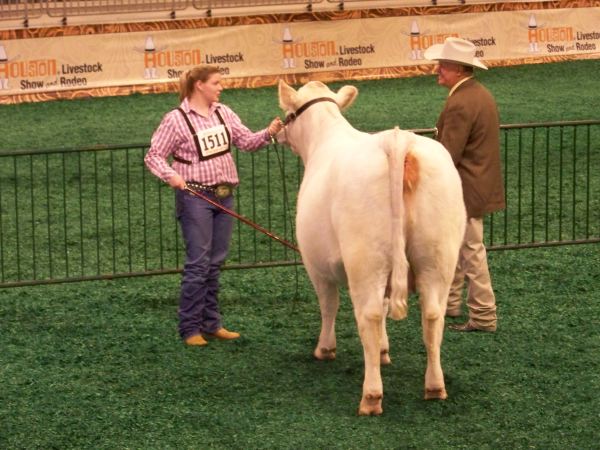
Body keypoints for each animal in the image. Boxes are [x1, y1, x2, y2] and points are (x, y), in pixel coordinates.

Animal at [278, 80, 468, 414]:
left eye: (289, 114)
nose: (276, 132)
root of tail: (398, 138)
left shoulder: (316, 265)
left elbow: (329, 305)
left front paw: (325, 349)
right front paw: (383, 350)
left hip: (364, 259)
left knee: (369, 315)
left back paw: (371, 396)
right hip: (438, 255)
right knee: (433, 316)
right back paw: (434, 386)